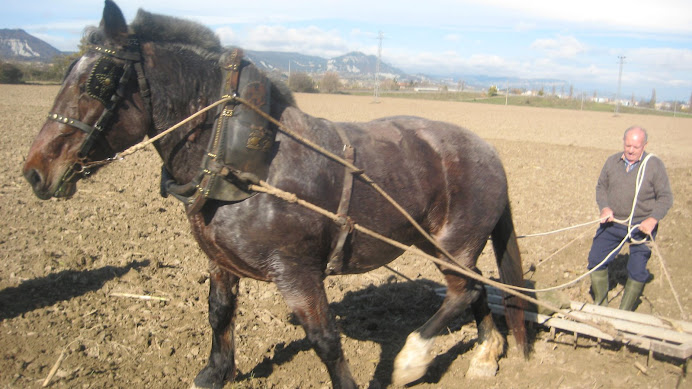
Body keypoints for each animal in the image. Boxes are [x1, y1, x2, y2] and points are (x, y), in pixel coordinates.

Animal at [23, 1, 528, 386]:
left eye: (100, 80)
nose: (34, 172)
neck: (239, 159)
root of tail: (489, 151)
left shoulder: (297, 271)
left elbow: (325, 339)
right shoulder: (220, 261)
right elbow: (220, 314)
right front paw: (215, 372)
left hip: (454, 242)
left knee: (463, 291)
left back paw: (412, 360)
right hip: (444, 243)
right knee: (477, 288)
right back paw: (486, 355)